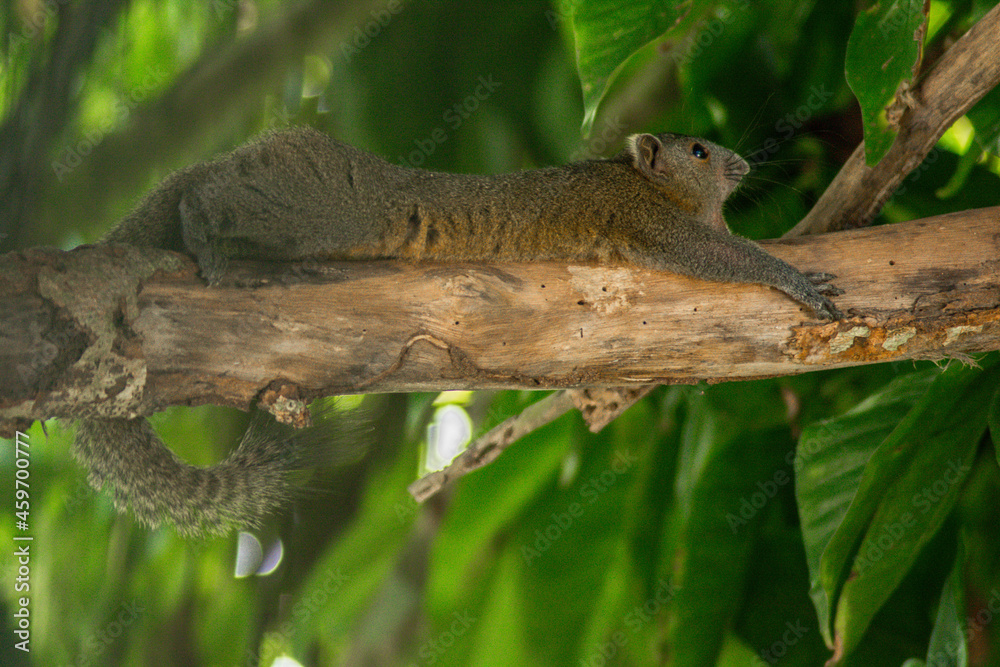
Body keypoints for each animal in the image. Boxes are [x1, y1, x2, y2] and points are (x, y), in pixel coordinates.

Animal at [75, 126, 842, 535]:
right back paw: (210, 244)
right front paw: (797, 279)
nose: (742, 162)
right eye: (699, 151)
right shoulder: (651, 223)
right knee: (209, 199)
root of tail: (242, 152)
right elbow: (727, 257)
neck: (653, 185)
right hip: (322, 206)